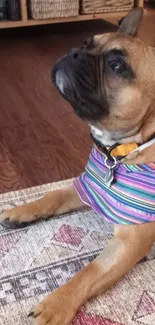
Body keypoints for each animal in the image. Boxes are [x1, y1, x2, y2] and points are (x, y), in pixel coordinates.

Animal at [0, 6, 155, 324]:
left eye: (117, 66)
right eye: (86, 43)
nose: (74, 53)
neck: (120, 151)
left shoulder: (131, 240)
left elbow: (90, 271)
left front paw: (55, 305)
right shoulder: (87, 186)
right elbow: (52, 195)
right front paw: (21, 211)